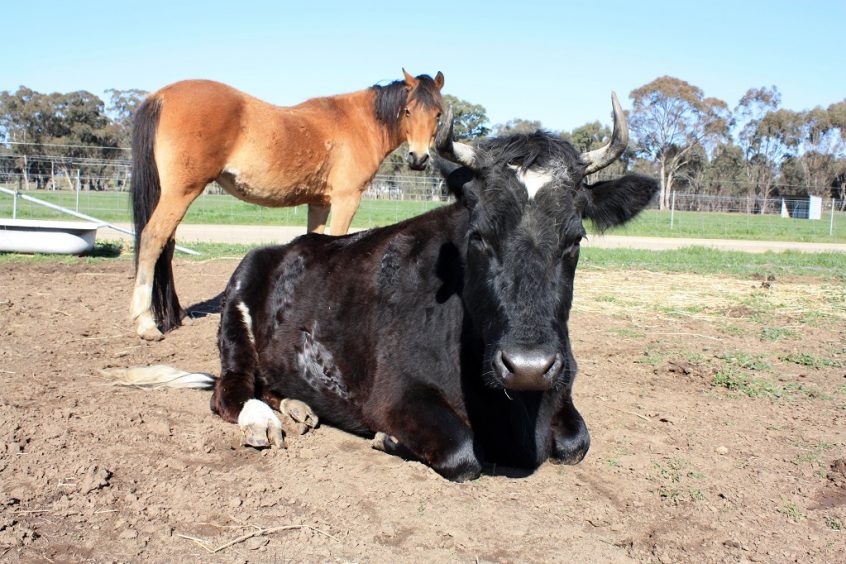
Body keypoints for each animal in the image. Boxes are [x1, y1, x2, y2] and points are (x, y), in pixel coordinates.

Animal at [130, 70, 448, 340]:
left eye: (438, 114)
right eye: (408, 111)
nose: (418, 159)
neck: (359, 123)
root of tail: (160, 96)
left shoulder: (318, 203)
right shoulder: (346, 200)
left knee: (167, 245)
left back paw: (175, 315)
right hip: (181, 193)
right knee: (153, 238)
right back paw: (146, 322)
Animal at [209, 93, 660, 480]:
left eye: (576, 239)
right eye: (478, 235)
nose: (528, 366)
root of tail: (290, 245)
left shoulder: (562, 387)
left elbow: (576, 441)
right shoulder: (396, 392)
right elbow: (463, 452)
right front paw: (389, 440)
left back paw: (299, 407)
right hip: (236, 319)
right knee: (230, 391)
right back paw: (263, 421)